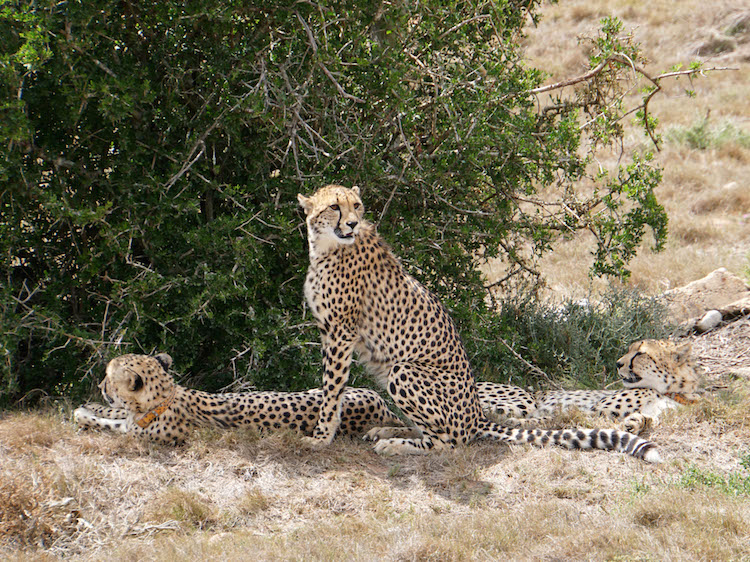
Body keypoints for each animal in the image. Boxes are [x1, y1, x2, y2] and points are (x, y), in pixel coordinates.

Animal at [74, 350, 406, 442]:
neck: (165, 395)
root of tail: (380, 407)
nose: (100, 385)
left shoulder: (135, 433)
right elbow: (114, 413)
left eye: (109, 377)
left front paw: (83, 413)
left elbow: (108, 422)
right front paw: (90, 405)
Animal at [296, 184, 660, 460]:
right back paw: (388, 429)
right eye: (334, 207)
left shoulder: (340, 333)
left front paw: (320, 437)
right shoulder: (329, 332)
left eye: (356, 206)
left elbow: (332, 389)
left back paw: (396, 443)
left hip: (404, 370)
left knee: (451, 441)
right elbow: (332, 387)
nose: (352, 224)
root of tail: (476, 415)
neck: (327, 247)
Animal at [478, 336, 704, 434]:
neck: (673, 392)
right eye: (630, 350)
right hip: (524, 400)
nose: (618, 363)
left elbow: (647, 419)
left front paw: (634, 423)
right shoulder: (596, 410)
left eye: (640, 354)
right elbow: (559, 417)